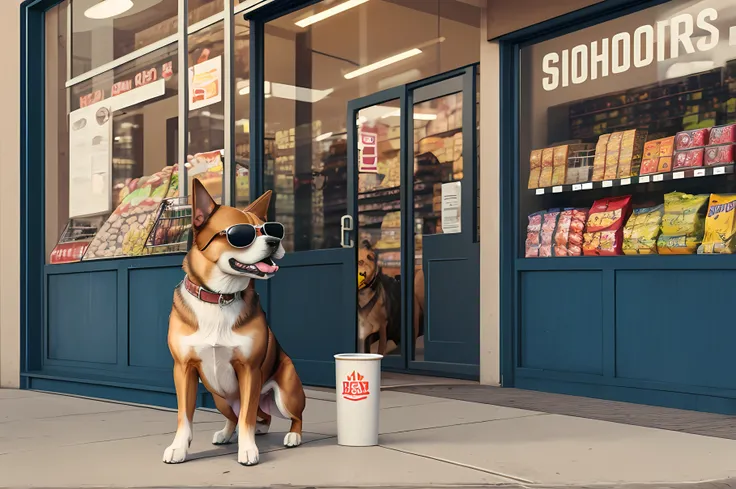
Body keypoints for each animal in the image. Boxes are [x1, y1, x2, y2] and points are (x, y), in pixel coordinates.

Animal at [163, 178, 304, 466]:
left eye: (270, 228)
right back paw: (227, 433)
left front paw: (247, 449)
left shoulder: (250, 370)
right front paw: (179, 447)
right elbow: (184, 415)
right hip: (220, 398)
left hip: (287, 394)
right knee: (239, 416)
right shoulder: (183, 370)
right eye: (241, 234)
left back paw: (293, 435)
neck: (219, 297)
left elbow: (248, 418)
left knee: (287, 417)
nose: (274, 240)